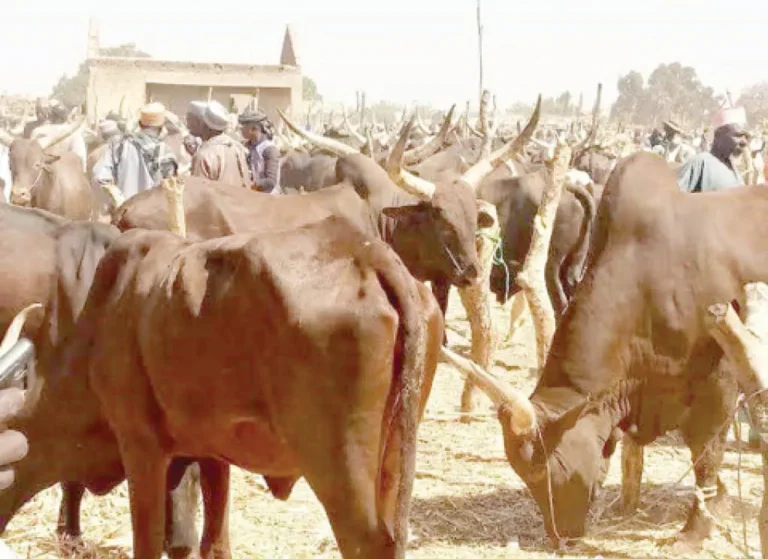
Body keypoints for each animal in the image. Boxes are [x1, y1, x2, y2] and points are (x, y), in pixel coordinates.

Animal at [58, 216, 443, 558]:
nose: (66, 536)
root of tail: (366, 252)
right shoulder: (211, 451)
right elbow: (214, 541)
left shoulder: (140, 444)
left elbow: (148, 541)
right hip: (392, 456)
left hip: (340, 464)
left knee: (367, 542)